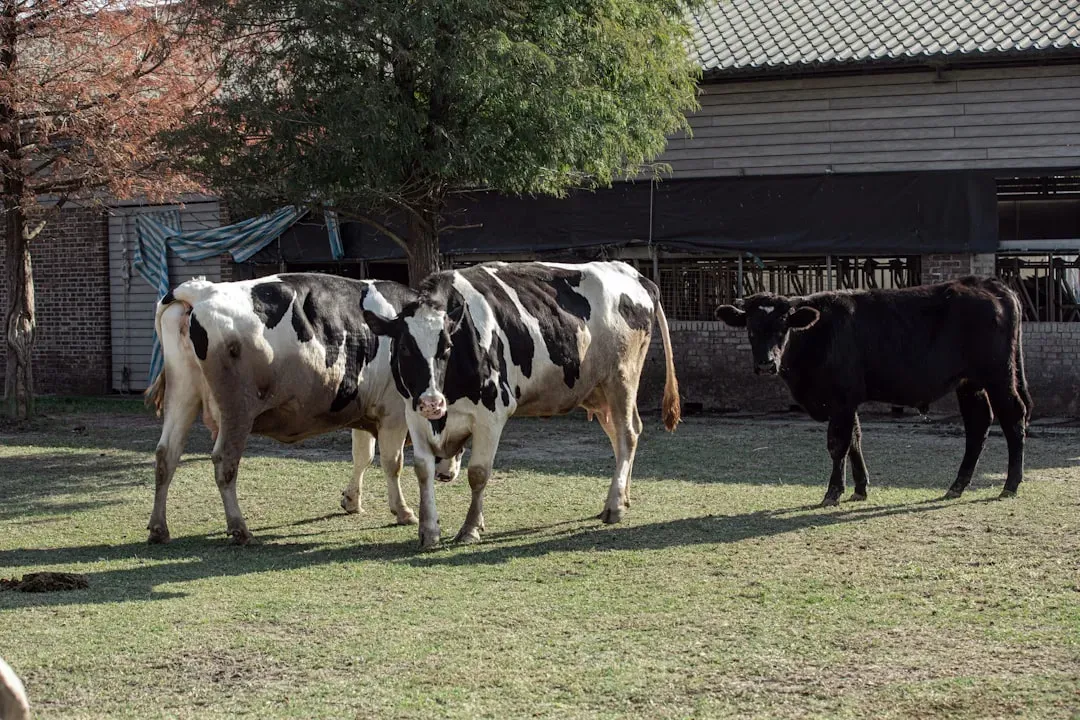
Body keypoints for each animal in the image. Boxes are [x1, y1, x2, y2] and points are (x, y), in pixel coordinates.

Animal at [145, 273, 460, 545]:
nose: (448, 475)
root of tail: (201, 290)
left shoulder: (365, 408)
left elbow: (363, 456)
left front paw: (351, 500)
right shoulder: (394, 412)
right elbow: (392, 463)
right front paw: (402, 511)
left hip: (182, 393)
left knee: (166, 455)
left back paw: (159, 528)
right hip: (237, 408)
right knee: (224, 461)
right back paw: (239, 529)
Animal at [362, 260, 681, 548]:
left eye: (447, 346)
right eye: (404, 347)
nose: (431, 402)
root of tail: (635, 274)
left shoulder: (492, 413)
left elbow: (478, 473)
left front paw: (470, 528)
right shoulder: (414, 413)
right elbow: (422, 469)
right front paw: (429, 531)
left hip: (622, 377)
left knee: (628, 435)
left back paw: (614, 506)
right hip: (599, 391)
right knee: (620, 435)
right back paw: (622, 498)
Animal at [715, 276, 1032, 506]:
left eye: (783, 328)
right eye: (751, 328)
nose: (766, 363)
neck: (819, 334)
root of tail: (987, 283)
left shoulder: (841, 399)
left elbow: (838, 444)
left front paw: (833, 492)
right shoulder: (847, 401)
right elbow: (855, 439)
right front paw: (860, 488)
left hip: (998, 376)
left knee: (1013, 417)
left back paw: (1010, 484)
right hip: (970, 383)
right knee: (978, 424)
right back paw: (958, 485)